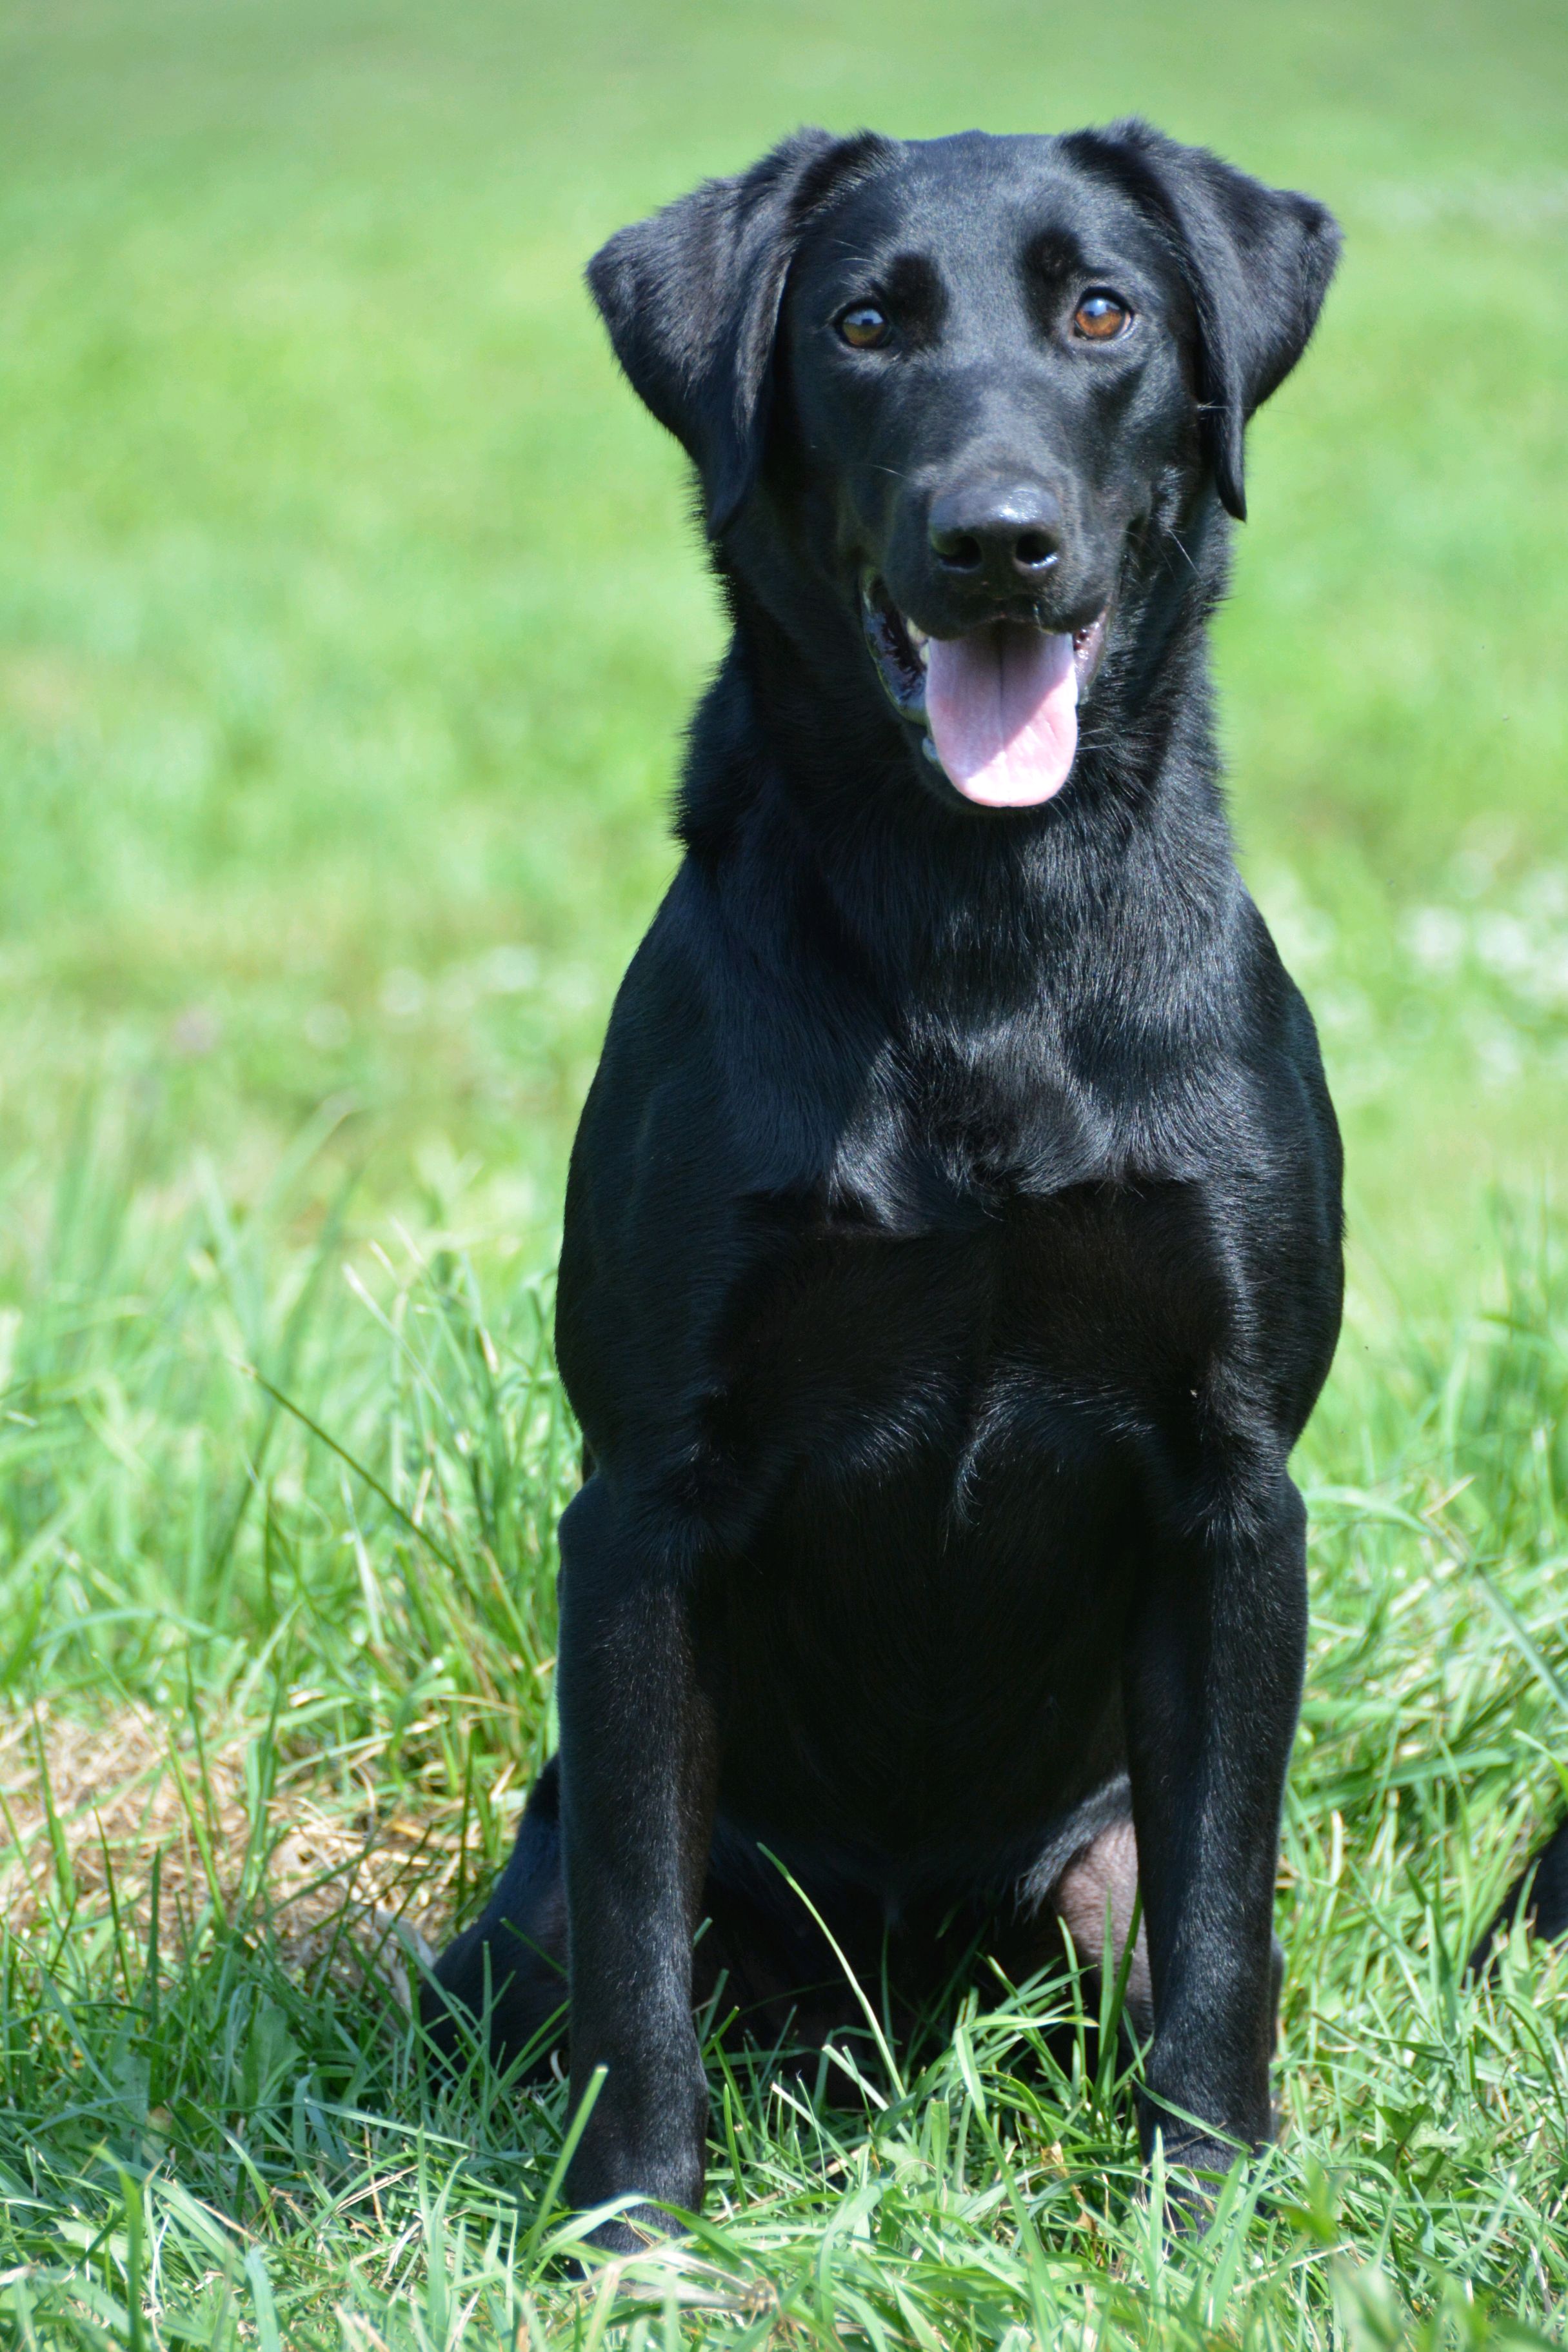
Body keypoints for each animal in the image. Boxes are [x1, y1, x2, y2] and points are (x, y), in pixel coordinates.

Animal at [423, 119, 1542, 2248]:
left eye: (1100, 311)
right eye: (865, 326)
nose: (995, 537)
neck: (979, 924)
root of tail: (902, 1992)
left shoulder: (1228, 1485)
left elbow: (1223, 1912)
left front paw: (1206, 2208)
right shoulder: (642, 1506)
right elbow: (634, 1949)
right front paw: (630, 2234)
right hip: (543, 1892)